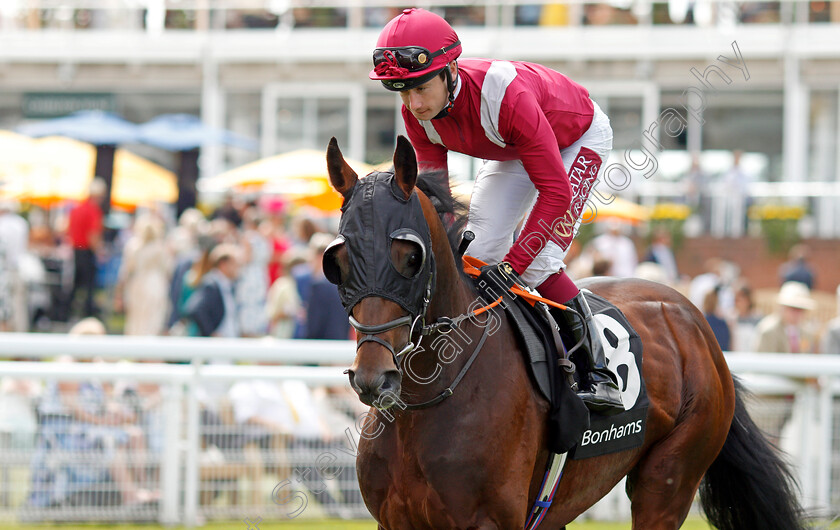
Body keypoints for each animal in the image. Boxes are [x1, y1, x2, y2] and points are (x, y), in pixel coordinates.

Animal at [322, 137, 800, 528]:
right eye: (338, 260)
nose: (374, 377)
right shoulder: (394, 520)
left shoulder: (489, 521)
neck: (426, 401)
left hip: (669, 479)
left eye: (410, 256)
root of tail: (693, 319)